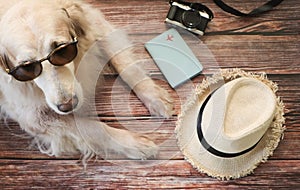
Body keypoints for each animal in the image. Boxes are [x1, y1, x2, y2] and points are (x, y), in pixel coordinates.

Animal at [0, 0, 173, 162]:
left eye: (62, 50)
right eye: (26, 67)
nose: (67, 106)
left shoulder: (93, 21)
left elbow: (126, 65)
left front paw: (156, 98)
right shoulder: (34, 118)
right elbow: (93, 128)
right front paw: (134, 144)